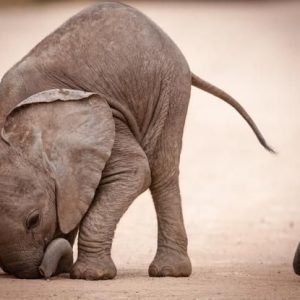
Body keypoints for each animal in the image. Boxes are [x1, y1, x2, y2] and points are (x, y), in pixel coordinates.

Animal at [0, 2, 274, 280]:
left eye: (33, 220)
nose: (43, 271)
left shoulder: (110, 118)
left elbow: (135, 171)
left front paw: (90, 275)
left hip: (169, 90)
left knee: (162, 169)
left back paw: (168, 271)